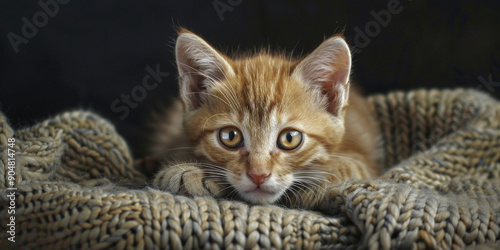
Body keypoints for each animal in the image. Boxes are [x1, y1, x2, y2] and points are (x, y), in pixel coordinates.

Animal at [150, 29, 380, 209]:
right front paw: (189, 170)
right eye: (230, 136)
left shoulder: (362, 154)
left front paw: (318, 182)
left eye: (290, 138)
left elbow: (349, 165)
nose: (258, 176)